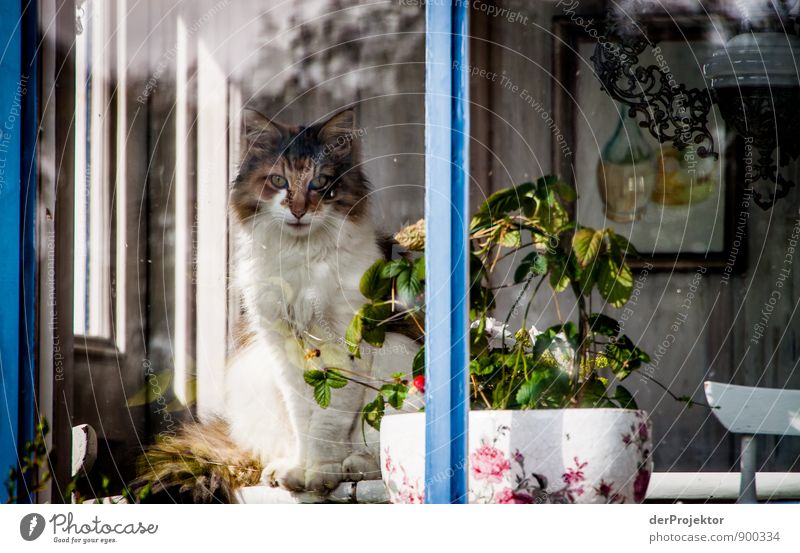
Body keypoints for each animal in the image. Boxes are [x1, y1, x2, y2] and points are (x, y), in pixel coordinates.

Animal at [222, 108, 416, 492]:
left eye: (319, 183)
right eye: (279, 181)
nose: (298, 210)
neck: (300, 259)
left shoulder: (346, 344)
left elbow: (328, 421)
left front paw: (321, 474)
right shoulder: (282, 349)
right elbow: (302, 418)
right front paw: (299, 471)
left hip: (397, 359)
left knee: (376, 448)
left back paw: (354, 467)